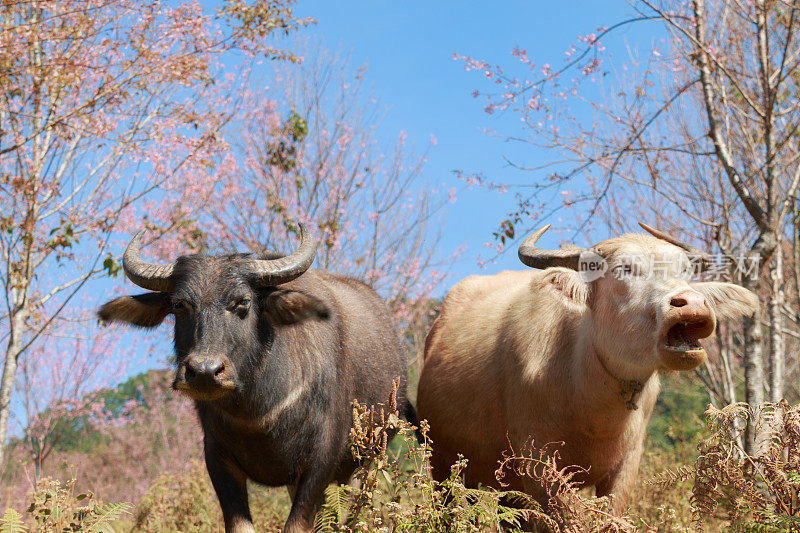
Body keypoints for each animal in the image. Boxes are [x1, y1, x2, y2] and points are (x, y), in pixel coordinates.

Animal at [98, 225, 412, 532]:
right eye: (178, 305)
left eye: (242, 302)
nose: (204, 371)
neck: (257, 413)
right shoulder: (217, 458)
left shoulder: (321, 461)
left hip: (367, 460)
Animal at [416, 222, 760, 510]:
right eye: (624, 268)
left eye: (685, 270)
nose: (692, 303)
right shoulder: (540, 470)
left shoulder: (625, 469)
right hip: (444, 471)